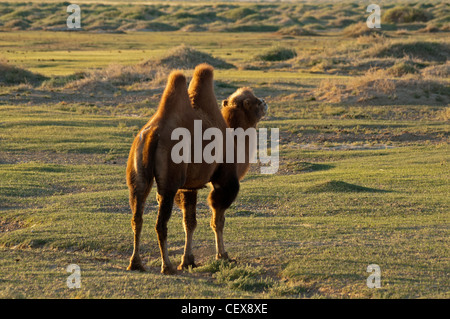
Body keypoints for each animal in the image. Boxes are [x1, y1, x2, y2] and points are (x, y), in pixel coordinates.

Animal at [125, 63, 268, 276]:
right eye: (252, 101)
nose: (265, 102)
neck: (235, 141)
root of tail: (152, 135)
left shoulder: (188, 187)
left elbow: (190, 222)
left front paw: (188, 261)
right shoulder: (224, 180)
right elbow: (217, 220)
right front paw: (223, 255)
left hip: (138, 176)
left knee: (137, 216)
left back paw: (136, 263)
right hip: (169, 182)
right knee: (161, 223)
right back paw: (167, 266)